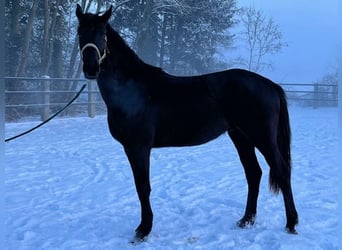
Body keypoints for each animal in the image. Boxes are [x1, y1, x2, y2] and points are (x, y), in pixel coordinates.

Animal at [75, 3, 296, 242]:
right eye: (80, 33)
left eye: (102, 34)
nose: (91, 68)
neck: (132, 90)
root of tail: (270, 85)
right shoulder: (131, 148)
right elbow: (140, 186)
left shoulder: (139, 147)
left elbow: (143, 187)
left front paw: (144, 229)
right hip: (241, 137)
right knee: (253, 173)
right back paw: (246, 220)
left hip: (261, 137)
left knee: (281, 171)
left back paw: (291, 223)